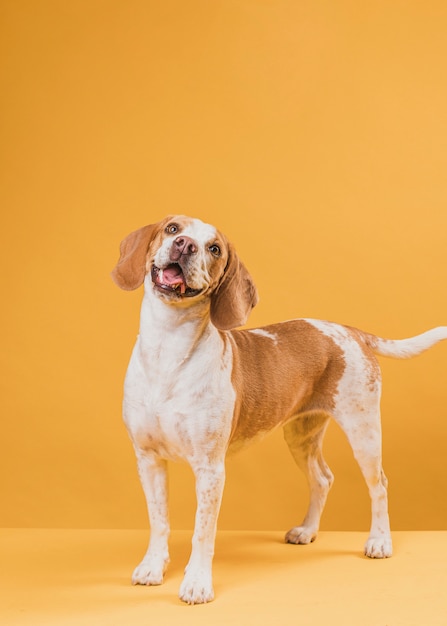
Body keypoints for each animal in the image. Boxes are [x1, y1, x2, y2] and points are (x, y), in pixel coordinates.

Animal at [112, 214, 447, 600]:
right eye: (172, 229)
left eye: (214, 248)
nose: (185, 245)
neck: (167, 350)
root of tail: (349, 330)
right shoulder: (148, 460)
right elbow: (159, 521)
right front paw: (153, 567)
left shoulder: (210, 469)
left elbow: (202, 532)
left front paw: (196, 583)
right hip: (301, 436)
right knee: (323, 478)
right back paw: (307, 531)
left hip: (364, 432)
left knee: (379, 485)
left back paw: (379, 541)